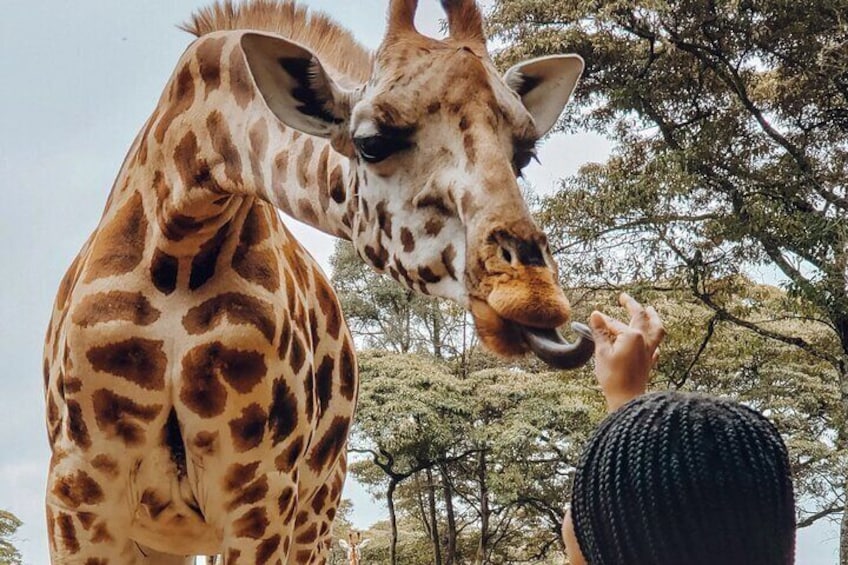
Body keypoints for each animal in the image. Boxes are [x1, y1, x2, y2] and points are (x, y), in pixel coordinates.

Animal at [42, 0, 593, 563]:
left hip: (315, 509)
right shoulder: (78, 490)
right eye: (371, 143)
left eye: (524, 154)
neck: (180, 243)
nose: (535, 298)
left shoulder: (260, 491)